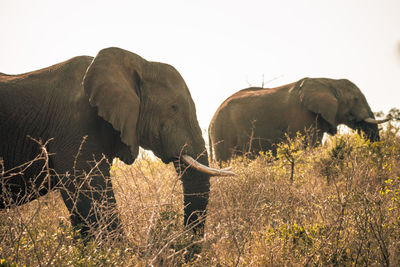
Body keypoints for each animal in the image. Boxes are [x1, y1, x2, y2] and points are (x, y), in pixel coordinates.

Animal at [208, 76, 390, 162]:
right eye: (356, 100)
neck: (328, 82)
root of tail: (210, 122)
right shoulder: (303, 117)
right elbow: (308, 147)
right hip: (223, 133)